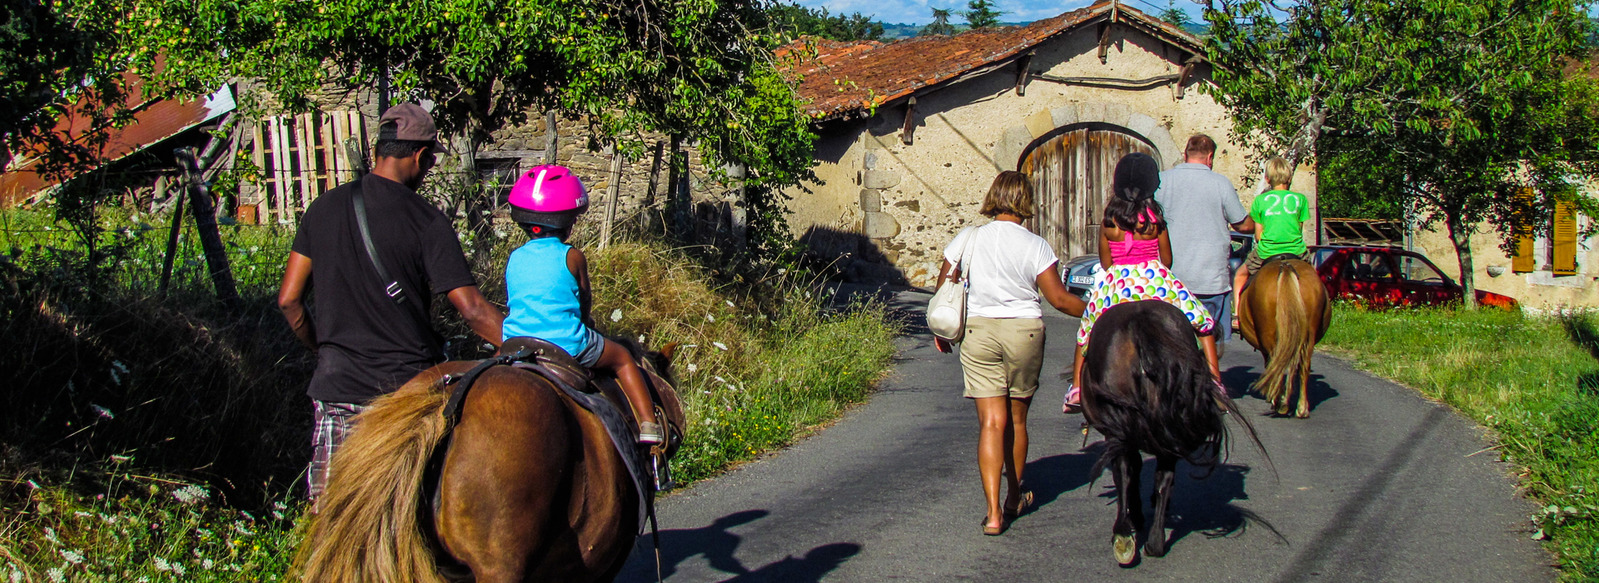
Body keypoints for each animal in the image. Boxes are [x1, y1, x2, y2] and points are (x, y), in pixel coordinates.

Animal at [1080, 300, 1266, 562]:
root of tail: (1141, 323)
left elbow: (1130, 470)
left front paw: (1135, 516)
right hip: (1169, 422)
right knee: (1163, 477)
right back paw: (1155, 542)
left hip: (1122, 427)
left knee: (1125, 470)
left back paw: (1124, 536)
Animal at [1234, 257, 1336, 415]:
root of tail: (1286, 266)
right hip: (1308, 335)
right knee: (1304, 365)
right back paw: (1301, 408)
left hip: (1270, 336)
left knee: (1278, 364)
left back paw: (1280, 403)